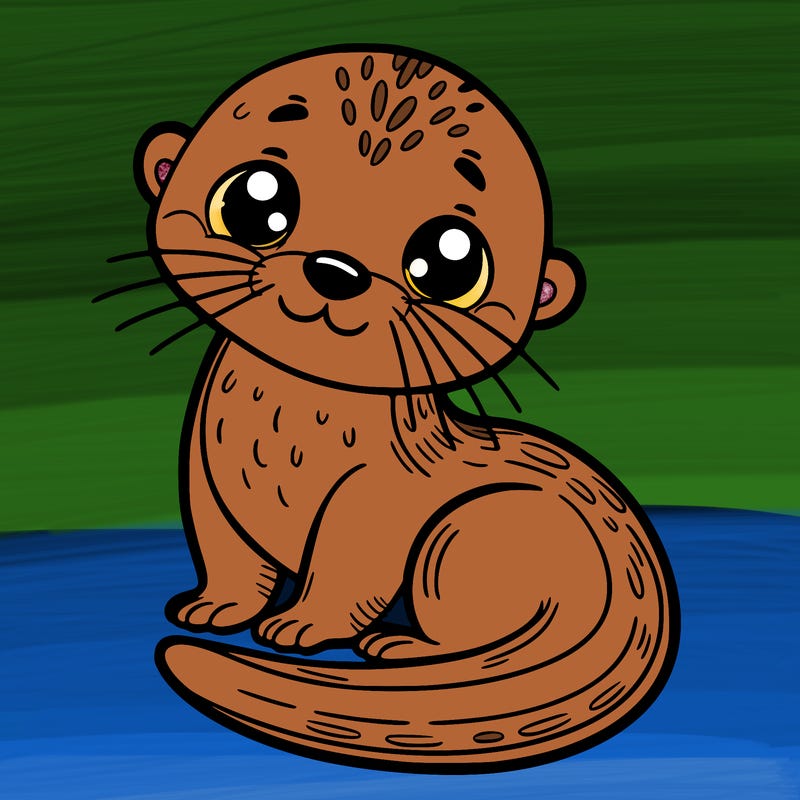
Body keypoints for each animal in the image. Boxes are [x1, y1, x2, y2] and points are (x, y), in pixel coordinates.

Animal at [120, 45, 678, 773]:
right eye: (254, 199)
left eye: (450, 261)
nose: (335, 269)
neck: (284, 433)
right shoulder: (205, 471)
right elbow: (226, 552)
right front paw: (216, 607)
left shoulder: (376, 494)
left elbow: (348, 568)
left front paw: (300, 625)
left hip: (467, 532)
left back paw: (402, 646)